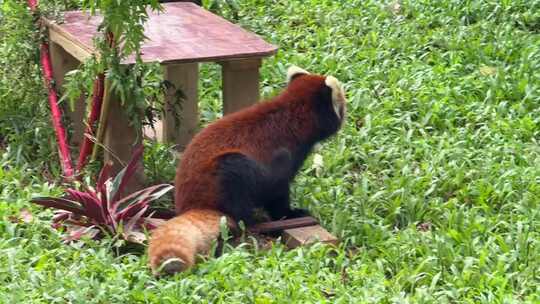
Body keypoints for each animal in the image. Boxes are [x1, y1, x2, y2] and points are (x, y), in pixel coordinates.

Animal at [149, 66, 346, 276]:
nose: (346, 112)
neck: (293, 114)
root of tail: (192, 203)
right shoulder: (281, 155)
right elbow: (276, 191)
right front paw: (290, 214)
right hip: (225, 174)